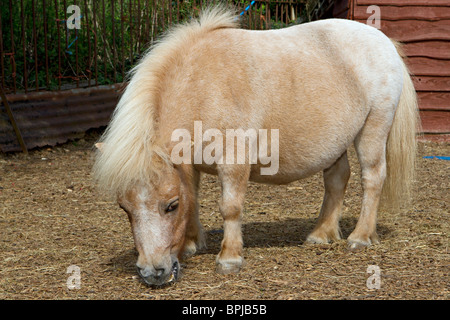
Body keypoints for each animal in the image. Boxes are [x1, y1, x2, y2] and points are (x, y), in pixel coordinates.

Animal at [93, 6, 420, 286]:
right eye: (124, 208)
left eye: (170, 206)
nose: (152, 273)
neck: (203, 85)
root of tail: (384, 42)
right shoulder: (189, 164)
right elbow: (194, 199)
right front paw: (191, 245)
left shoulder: (234, 162)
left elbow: (230, 208)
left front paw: (229, 258)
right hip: (336, 144)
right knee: (337, 180)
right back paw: (321, 233)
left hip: (372, 131)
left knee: (372, 178)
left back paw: (360, 236)